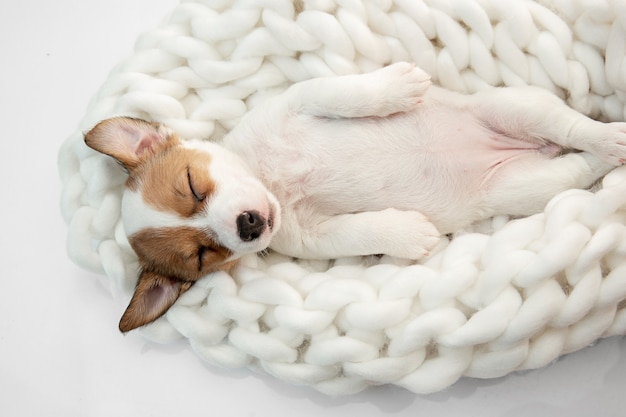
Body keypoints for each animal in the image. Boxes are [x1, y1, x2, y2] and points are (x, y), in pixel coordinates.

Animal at [83, 61, 624, 332]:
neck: (271, 178)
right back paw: (609, 157)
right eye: (203, 255)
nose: (249, 225)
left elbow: (345, 94)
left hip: (516, 107)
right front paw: (408, 233)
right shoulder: (312, 238)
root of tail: (530, 146)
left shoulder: (303, 99)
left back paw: (610, 135)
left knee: (574, 129)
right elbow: (360, 232)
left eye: (193, 185)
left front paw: (394, 86)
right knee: (576, 165)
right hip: (522, 188)